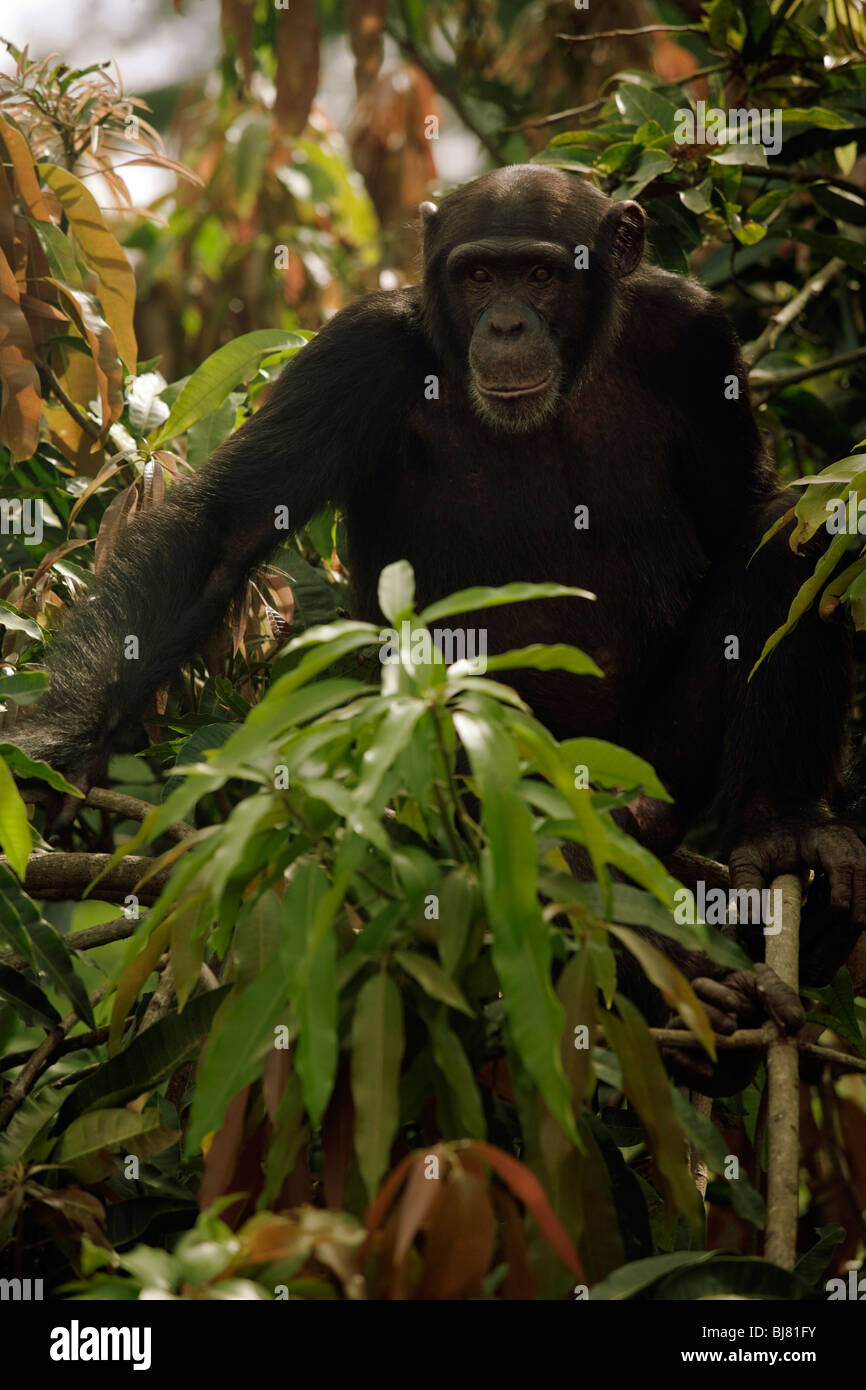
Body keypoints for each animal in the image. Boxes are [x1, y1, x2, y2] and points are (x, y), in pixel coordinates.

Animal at [11, 165, 866, 1095]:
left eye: (541, 275)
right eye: (478, 275)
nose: (506, 323)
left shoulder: (697, 335)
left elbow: (749, 511)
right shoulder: (357, 353)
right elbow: (224, 531)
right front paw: (55, 742)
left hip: (666, 763)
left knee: (800, 532)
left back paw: (781, 829)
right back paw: (685, 983)